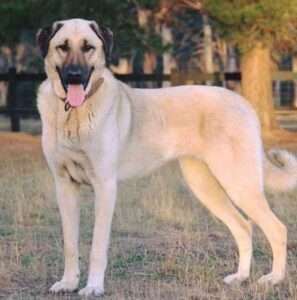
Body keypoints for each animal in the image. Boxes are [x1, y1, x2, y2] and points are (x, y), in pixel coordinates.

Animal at [35, 18, 294, 298]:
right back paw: (240, 277)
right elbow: (70, 244)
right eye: (62, 46)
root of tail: (244, 102)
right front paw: (68, 282)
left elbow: (97, 247)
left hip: (239, 183)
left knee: (277, 228)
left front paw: (93, 287)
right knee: (244, 227)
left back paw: (274, 279)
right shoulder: (65, 186)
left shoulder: (104, 187)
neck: (73, 114)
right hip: (205, 186)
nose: (74, 75)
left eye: (88, 47)